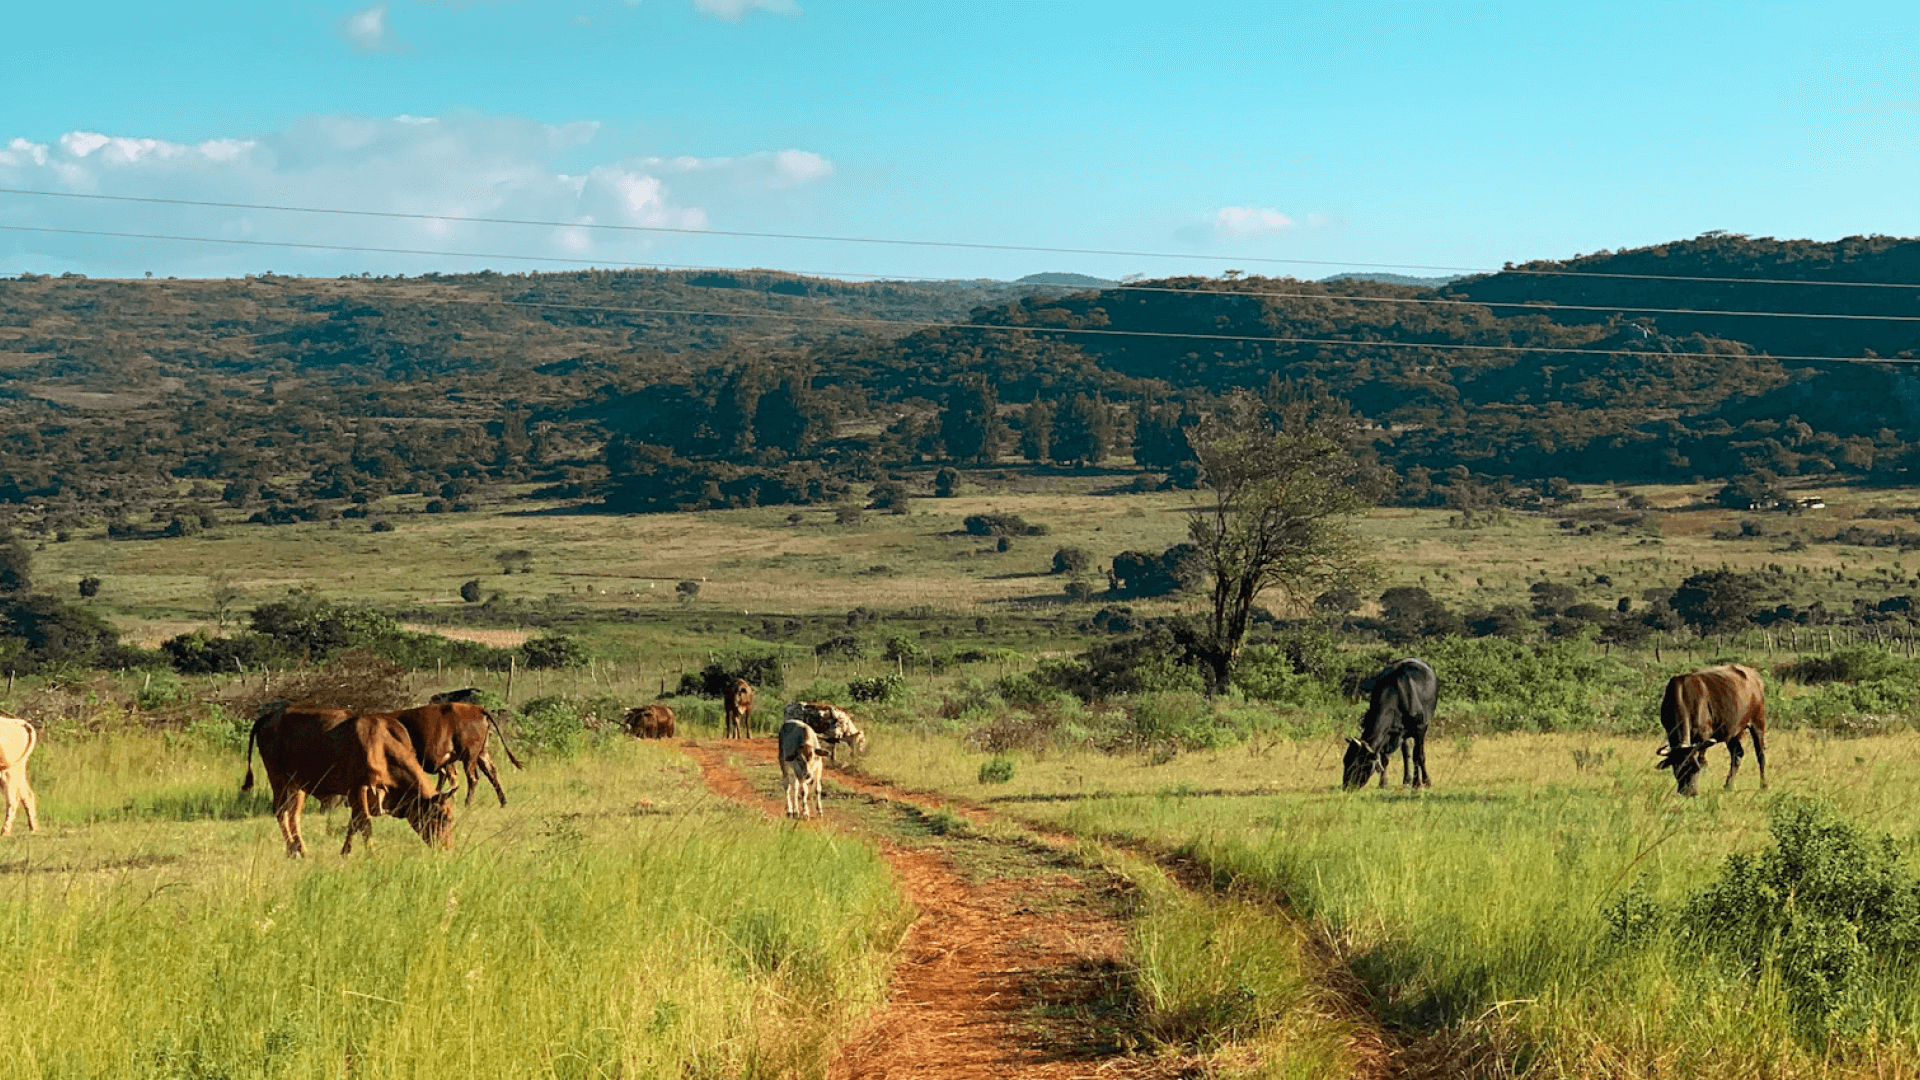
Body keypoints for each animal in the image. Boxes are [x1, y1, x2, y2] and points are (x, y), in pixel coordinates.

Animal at [241, 700, 456, 857]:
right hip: (278, 778)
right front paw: (371, 852)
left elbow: (354, 824)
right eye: (441, 817)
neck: (382, 746)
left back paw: (300, 848)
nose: (446, 847)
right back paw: (293, 850)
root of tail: (269, 716)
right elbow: (364, 824)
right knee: (281, 812)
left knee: (293, 815)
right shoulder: (358, 789)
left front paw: (345, 852)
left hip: (298, 784)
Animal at [1342, 658, 1438, 790]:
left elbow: (1418, 756)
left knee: (1415, 754)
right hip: (1404, 734)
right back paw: (1406, 779)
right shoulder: (1388, 734)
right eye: (1345, 760)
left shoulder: (1420, 728)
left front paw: (1421, 782)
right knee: (1406, 753)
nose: (1346, 786)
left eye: (1358, 763)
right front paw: (1383, 783)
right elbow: (1385, 757)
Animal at [1655, 663, 1768, 797]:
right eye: (1678, 769)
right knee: (1737, 755)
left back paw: (1763, 786)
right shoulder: (1670, 732)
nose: (1689, 792)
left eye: (1696, 769)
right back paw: (1728, 786)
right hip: (1732, 733)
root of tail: (1755, 677)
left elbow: (1702, 759)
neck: (1683, 696)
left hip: (1758, 722)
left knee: (1760, 755)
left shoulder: (1704, 736)